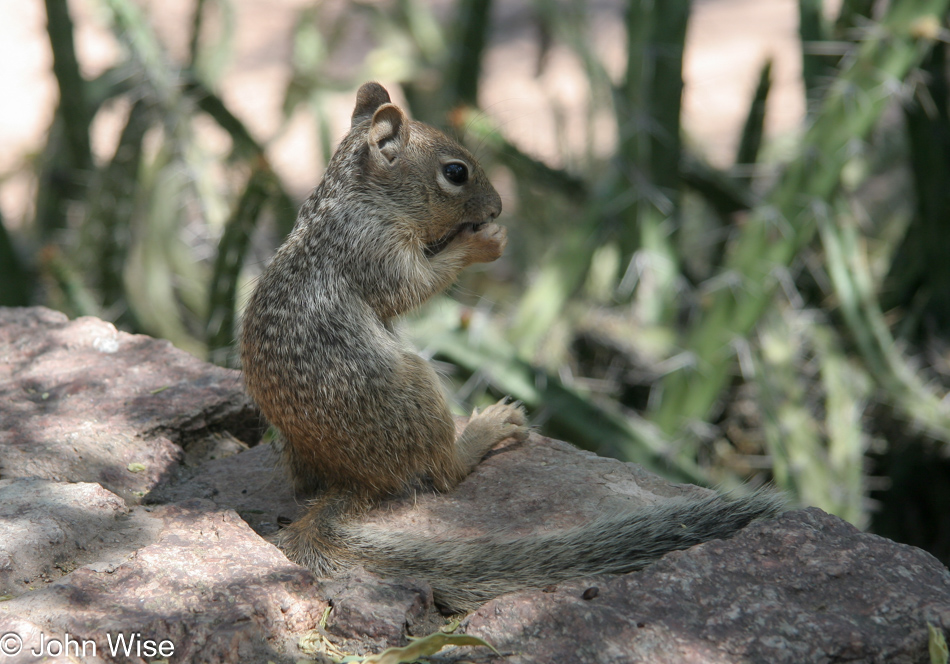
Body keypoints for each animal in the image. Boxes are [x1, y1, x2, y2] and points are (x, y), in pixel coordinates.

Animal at [238, 81, 780, 612]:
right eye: (455, 172)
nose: (498, 208)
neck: (354, 197)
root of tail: (352, 481)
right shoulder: (372, 250)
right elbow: (413, 287)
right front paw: (483, 243)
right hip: (416, 391)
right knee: (444, 474)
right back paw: (486, 430)